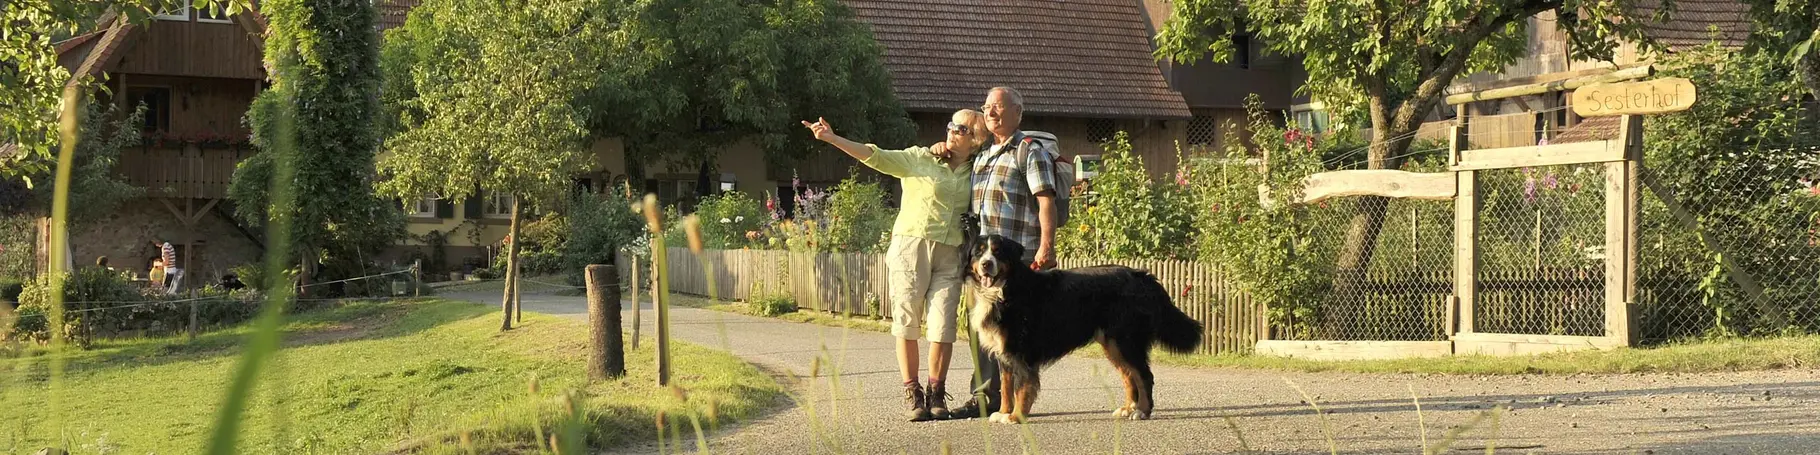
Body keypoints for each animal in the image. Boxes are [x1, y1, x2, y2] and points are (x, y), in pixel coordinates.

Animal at [968, 234, 1208, 422]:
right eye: (978, 253)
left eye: (998, 252)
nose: (986, 264)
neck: (1005, 290)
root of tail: (1143, 276)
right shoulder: (1005, 353)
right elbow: (1006, 386)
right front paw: (1003, 413)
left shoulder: (1021, 352)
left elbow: (1021, 388)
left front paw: (1016, 416)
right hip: (1113, 343)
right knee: (1129, 376)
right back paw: (1127, 408)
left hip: (1126, 341)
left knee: (1144, 375)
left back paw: (1142, 411)